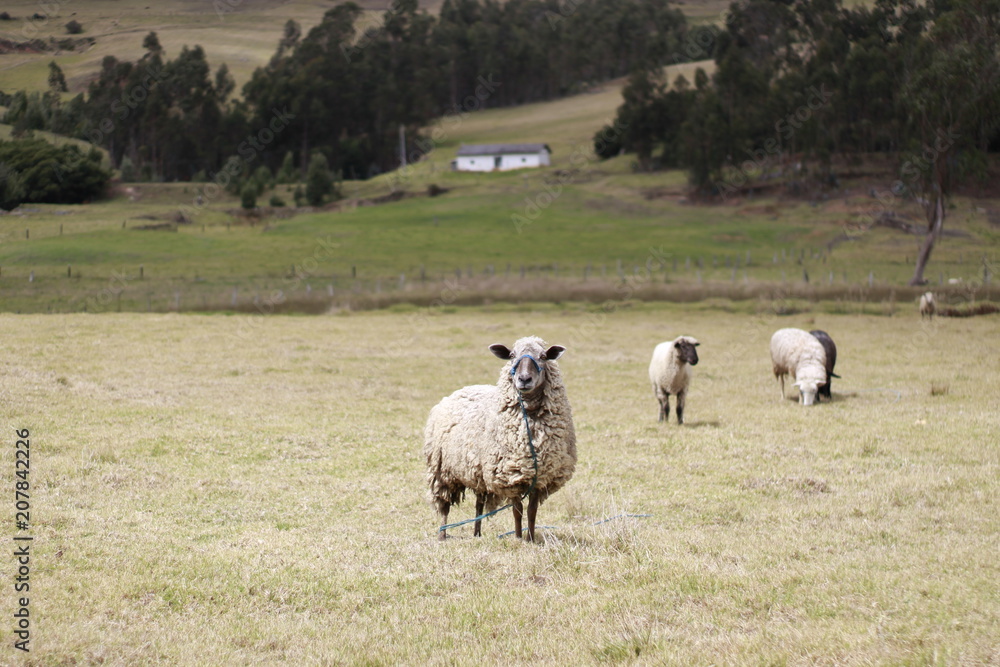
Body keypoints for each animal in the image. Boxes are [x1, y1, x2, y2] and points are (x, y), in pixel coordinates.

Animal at [423, 336, 576, 542]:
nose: (524, 379)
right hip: (441, 470)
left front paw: (531, 539)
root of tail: (463, 389)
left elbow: (532, 511)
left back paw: (477, 533)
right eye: (512, 355)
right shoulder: (510, 476)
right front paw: (518, 538)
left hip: (478, 470)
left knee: (479, 503)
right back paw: (442, 534)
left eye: (543, 356)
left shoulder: (540, 476)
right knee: (444, 504)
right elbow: (517, 510)